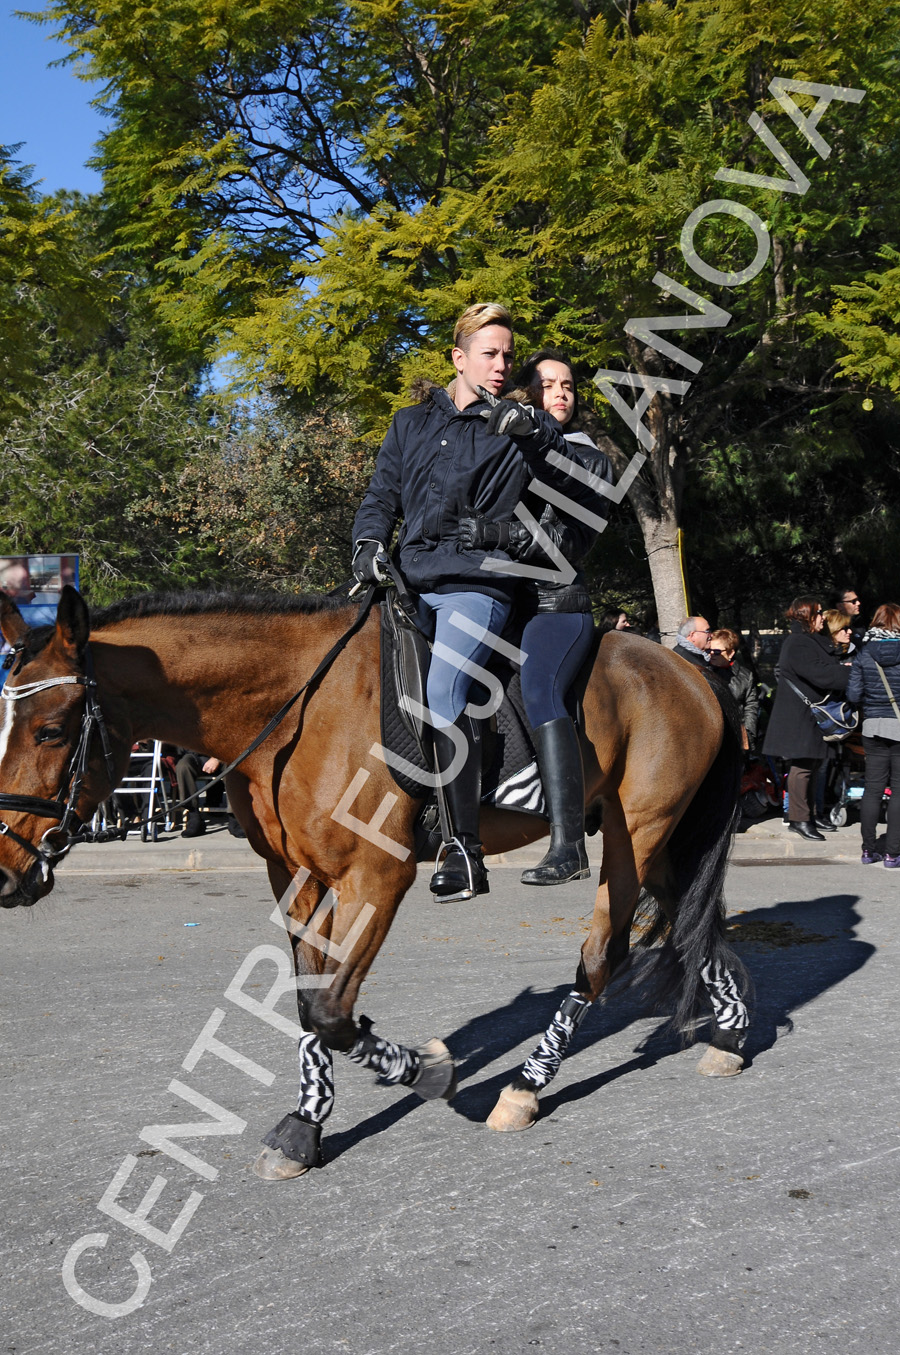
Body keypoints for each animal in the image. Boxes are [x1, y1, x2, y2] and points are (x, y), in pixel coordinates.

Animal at [0, 590, 742, 1176]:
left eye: (51, 729)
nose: (7, 874)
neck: (295, 712)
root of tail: (688, 667)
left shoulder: (377, 877)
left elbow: (333, 1011)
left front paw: (431, 1070)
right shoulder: (296, 875)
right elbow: (308, 1002)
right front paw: (305, 1127)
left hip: (634, 833)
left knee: (603, 955)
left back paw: (528, 1086)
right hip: (659, 843)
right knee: (693, 925)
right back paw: (731, 1038)